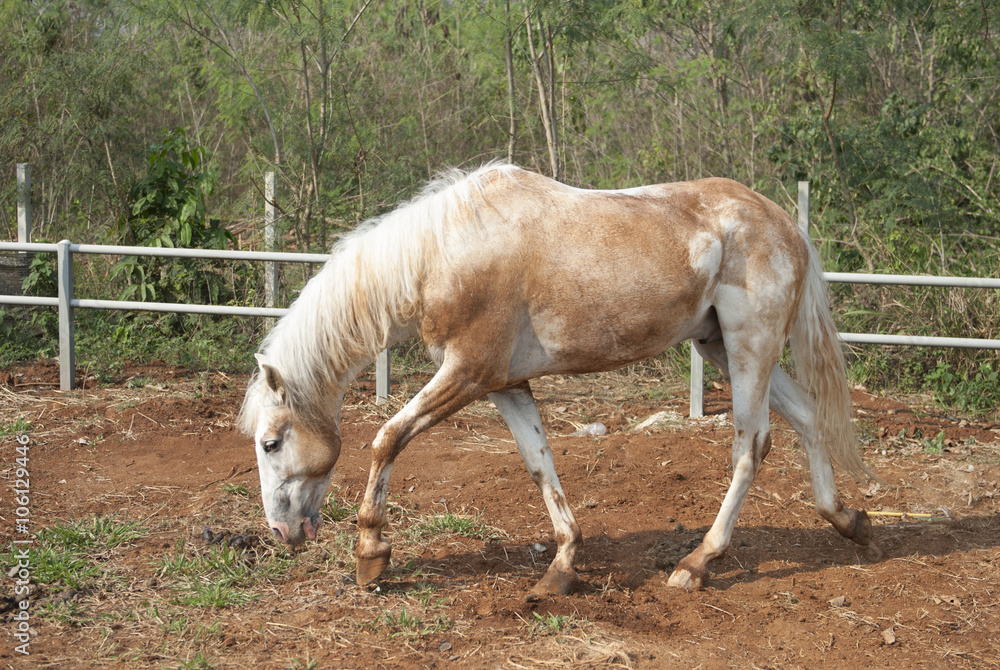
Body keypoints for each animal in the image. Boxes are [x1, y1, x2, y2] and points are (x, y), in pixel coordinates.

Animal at [239, 163, 874, 595]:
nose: (281, 531)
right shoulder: (504, 384)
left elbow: (387, 438)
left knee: (752, 444)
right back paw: (849, 520)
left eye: (270, 443)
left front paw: (371, 552)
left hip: (749, 348)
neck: (443, 252)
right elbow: (539, 463)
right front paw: (562, 567)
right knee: (808, 417)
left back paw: (696, 563)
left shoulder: (466, 372)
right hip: (722, 345)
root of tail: (785, 224)